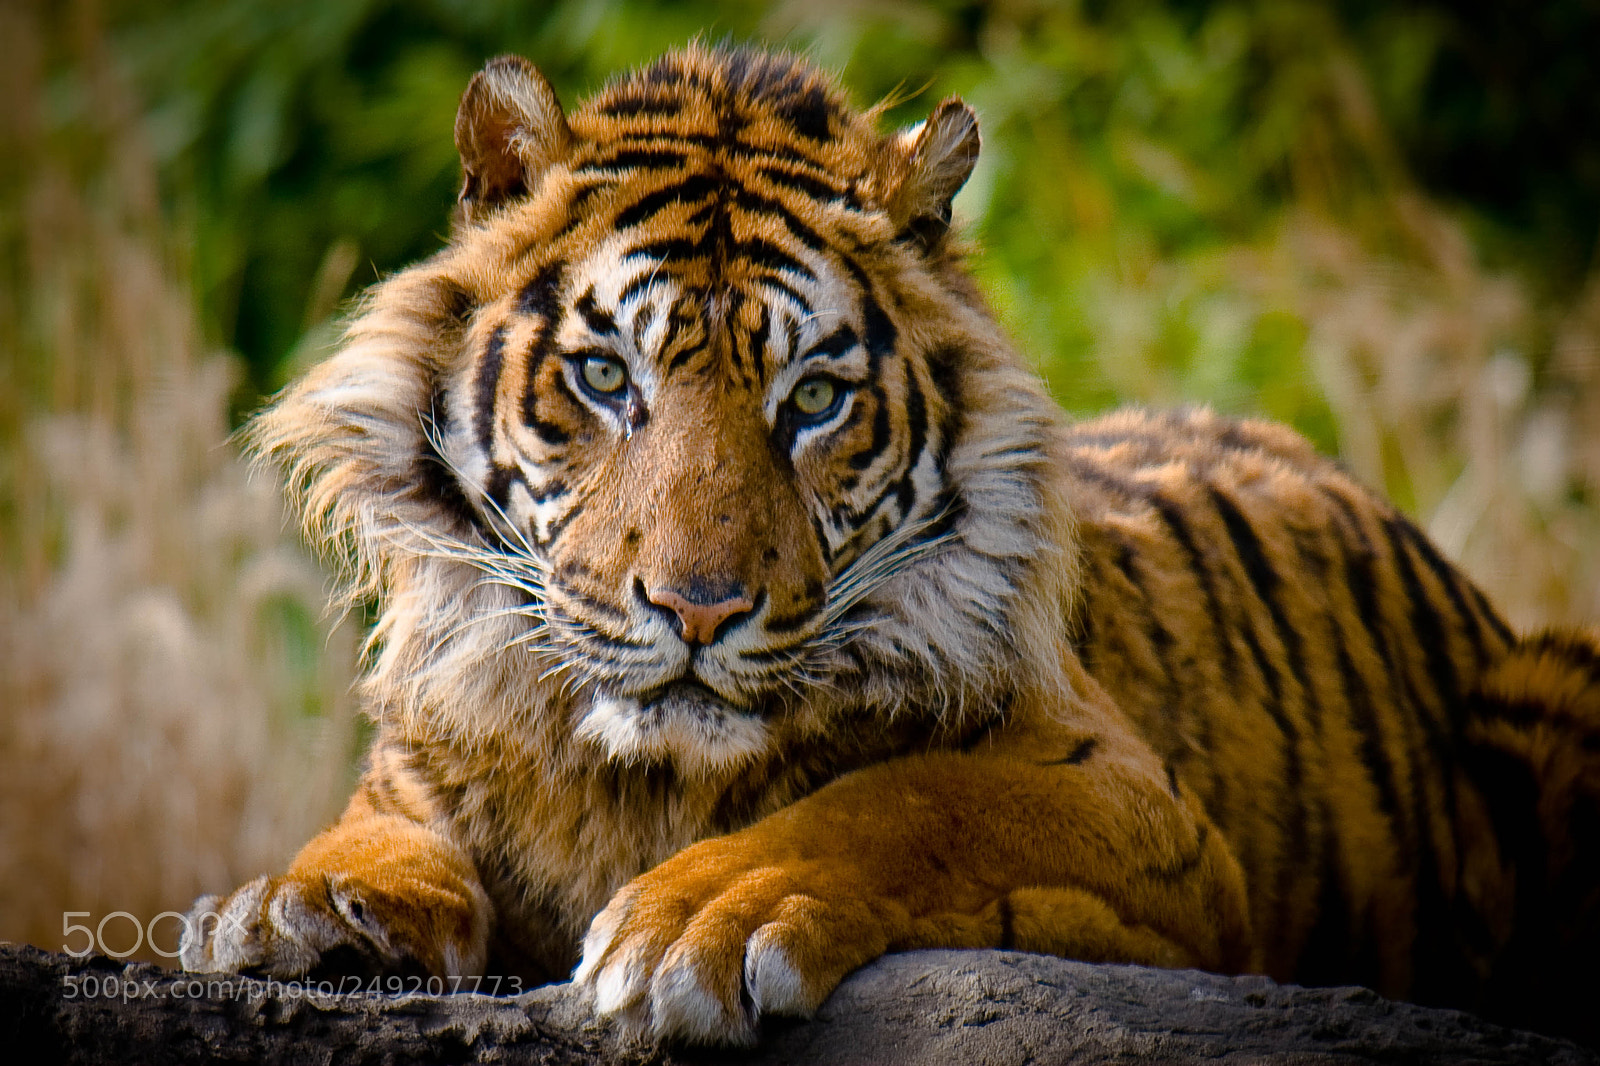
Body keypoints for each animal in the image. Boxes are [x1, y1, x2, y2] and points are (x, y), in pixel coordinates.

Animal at [180, 44, 1600, 1046]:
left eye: (812, 397)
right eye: (603, 377)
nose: (698, 608)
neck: (643, 782)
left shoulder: (1141, 810)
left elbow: (903, 798)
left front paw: (699, 918)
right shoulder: (420, 765)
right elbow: (369, 835)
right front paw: (297, 908)